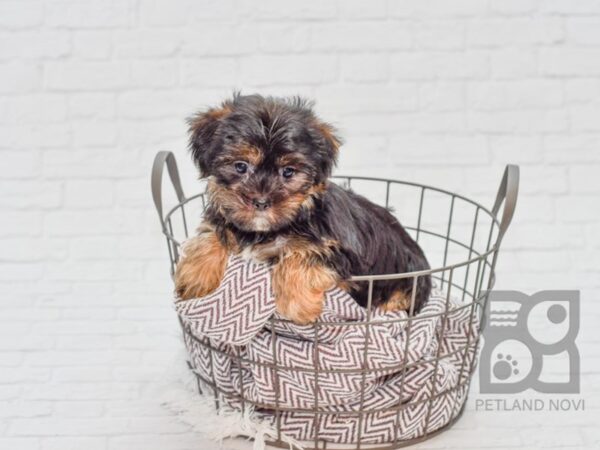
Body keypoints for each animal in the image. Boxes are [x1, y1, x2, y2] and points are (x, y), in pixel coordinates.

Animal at [175, 94, 432, 324]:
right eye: (240, 166)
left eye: (288, 171)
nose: (261, 201)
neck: (266, 231)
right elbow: (211, 232)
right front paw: (196, 278)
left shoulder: (341, 252)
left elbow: (302, 254)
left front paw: (298, 306)